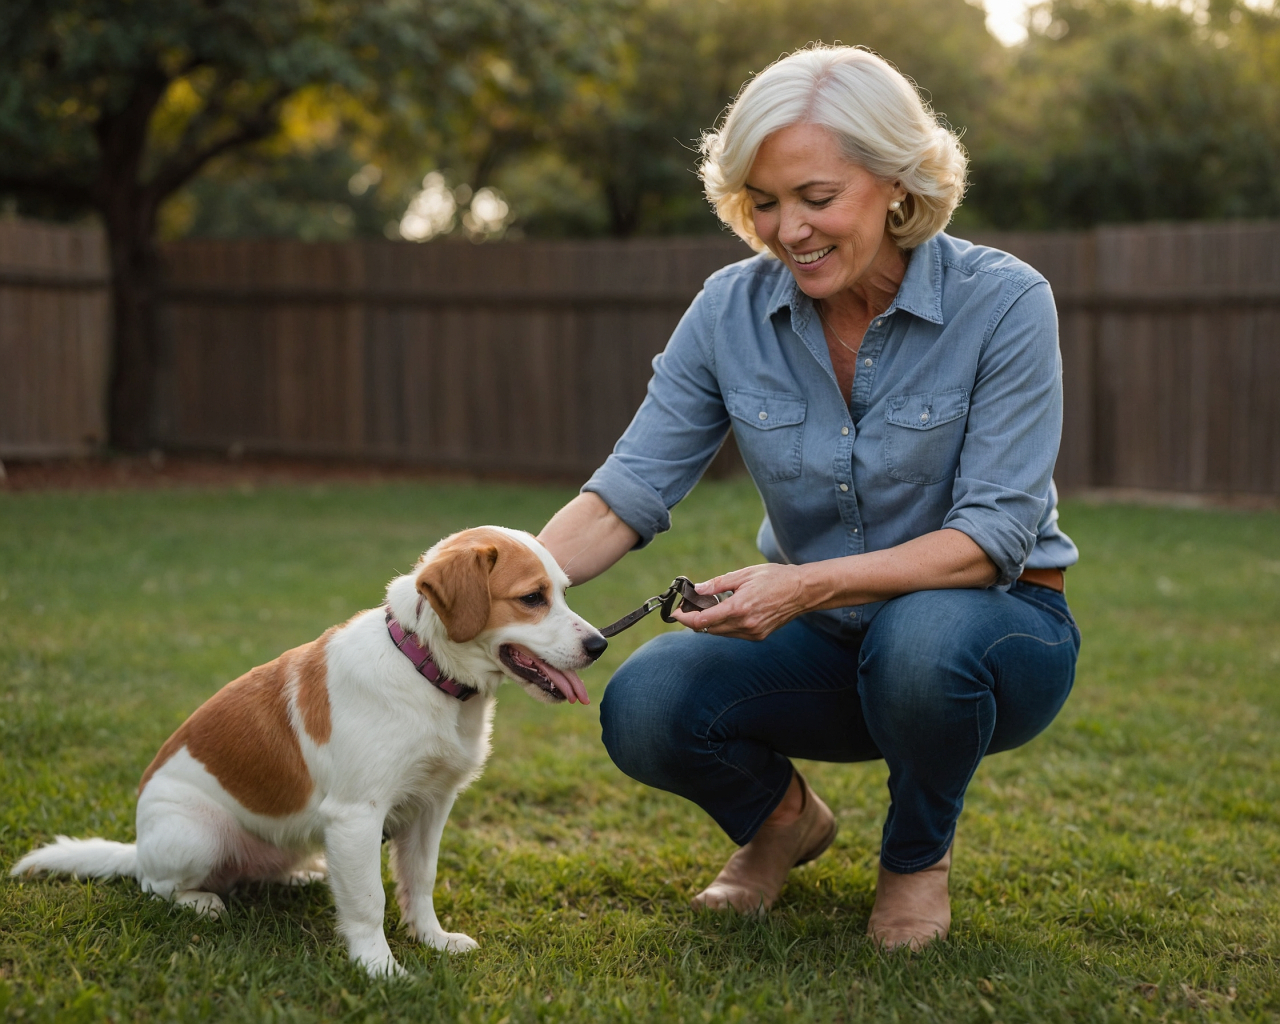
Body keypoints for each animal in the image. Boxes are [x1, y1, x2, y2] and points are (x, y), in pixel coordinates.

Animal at [10, 527, 606, 977]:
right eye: (532, 598)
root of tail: (138, 845)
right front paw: (380, 970)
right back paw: (201, 901)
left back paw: (301, 874)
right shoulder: (357, 815)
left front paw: (432, 940)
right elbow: (369, 901)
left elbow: (420, 882)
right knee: (156, 885)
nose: (599, 644)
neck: (425, 673)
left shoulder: (430, 807)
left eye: (564, 591)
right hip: (196, 835)